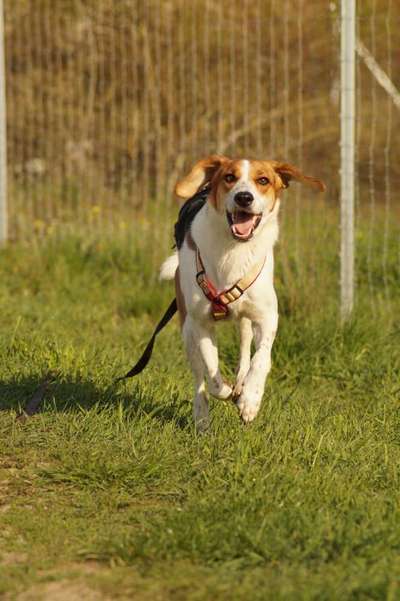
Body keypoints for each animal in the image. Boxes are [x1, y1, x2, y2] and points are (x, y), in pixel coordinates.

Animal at [160, 155, 324, 426]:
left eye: (263, 180)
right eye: (229, 177)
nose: (244, 197)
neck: (234, 251)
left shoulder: (266, 317)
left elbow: (261, 359)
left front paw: (250, 400)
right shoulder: (201, 323)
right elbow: (212, 370)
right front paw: (225, 390)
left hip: (245, 323)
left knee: (246, 353)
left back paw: (241, 385)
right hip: (187, 330)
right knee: (199, 377)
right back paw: (202, 416)